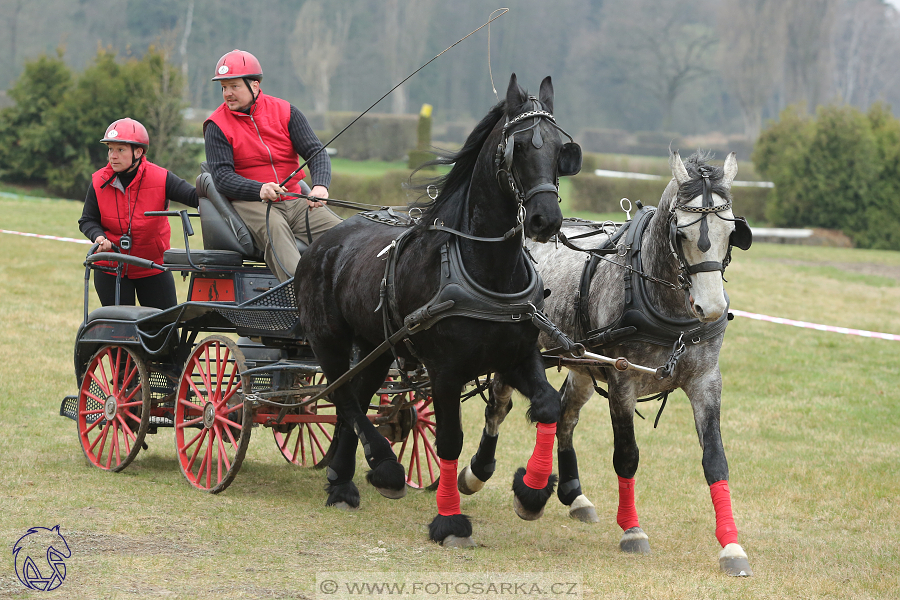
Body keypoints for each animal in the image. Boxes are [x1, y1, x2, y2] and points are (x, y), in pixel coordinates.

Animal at [292, 72, 580, 548]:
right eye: (519, 146)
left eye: (561, 149)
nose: (546, 219)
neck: (486, 269)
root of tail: (323, 241)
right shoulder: (446, 372)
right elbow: (448, 441)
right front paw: (450, 521)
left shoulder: (518, 356)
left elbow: (548, 407)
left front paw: (532, 492)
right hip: (327, 339)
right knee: (343, 396)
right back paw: (385, 467)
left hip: (377, 345)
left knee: (357, 396)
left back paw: (342, 479)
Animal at [458, 152, 752, 576]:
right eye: (681, 235)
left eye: (731, 232)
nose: (711, 309)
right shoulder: (621, 380)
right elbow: (626, 457)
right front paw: (632, 530)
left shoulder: (705, 381)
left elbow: (715, 460)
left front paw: (731, 546)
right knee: (499, 407)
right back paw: (477, 472)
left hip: (581, 362)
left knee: (564, 415)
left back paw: (572, 492)